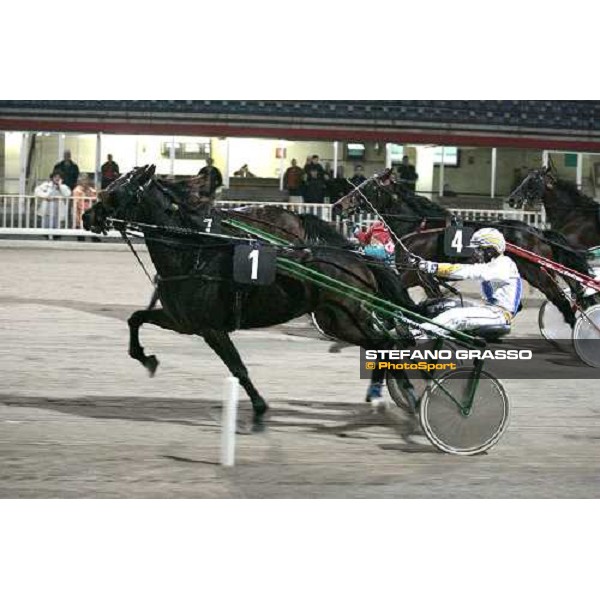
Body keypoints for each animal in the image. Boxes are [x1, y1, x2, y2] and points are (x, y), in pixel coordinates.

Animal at [83, 166, 418, 424]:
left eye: (115, 191)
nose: (88, 215)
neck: (194, 253)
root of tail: (359, 258)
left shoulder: (211, 328)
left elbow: (237, 367)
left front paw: (259, 407)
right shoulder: (181, 321)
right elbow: (135, 319)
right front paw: (146, 358)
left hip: (344, 320)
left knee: (385, 344)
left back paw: (396, 397)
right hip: (337, 319)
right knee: (385, 345)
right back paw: (393, 396)